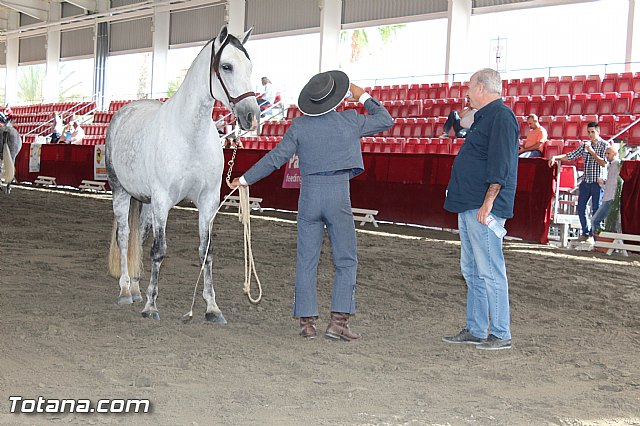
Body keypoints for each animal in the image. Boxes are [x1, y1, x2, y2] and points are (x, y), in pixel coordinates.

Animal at [106, 25, 260, 323]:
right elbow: (159, 251)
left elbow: (206, 252)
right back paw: (126, 291)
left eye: (250, 66)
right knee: (124, 236)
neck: (190, 136)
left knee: (139, 236)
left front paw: (212, 307)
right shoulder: (163, 200)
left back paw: (137, 288)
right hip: (121, 192)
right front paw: (151, 306)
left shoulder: (208, 201)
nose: (251, 116)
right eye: (226, 66)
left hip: (145, 201)